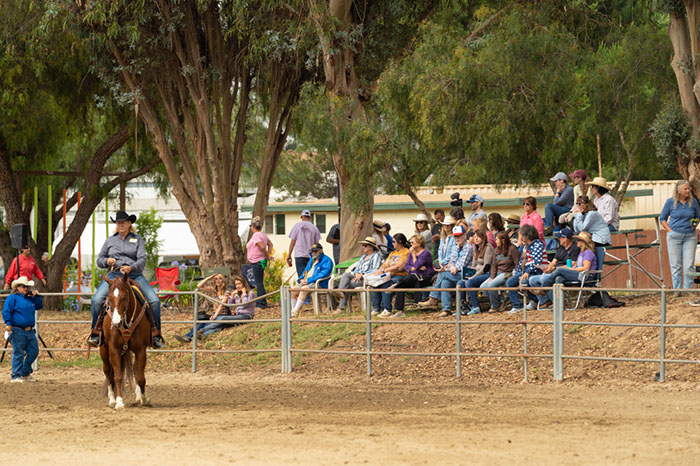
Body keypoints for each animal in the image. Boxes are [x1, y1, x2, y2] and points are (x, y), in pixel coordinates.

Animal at [100, 274, 150, 408]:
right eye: (109, 299)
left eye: (124, 297)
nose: (116, 323)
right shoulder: (114, 349)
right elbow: (117, 376)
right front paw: (119, 402)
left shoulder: (140, 350)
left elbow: (140, 377)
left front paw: (144, 398)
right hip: (103, 349)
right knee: (107, 371)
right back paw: (112, 399)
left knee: (135, 370)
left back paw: (138, 396)